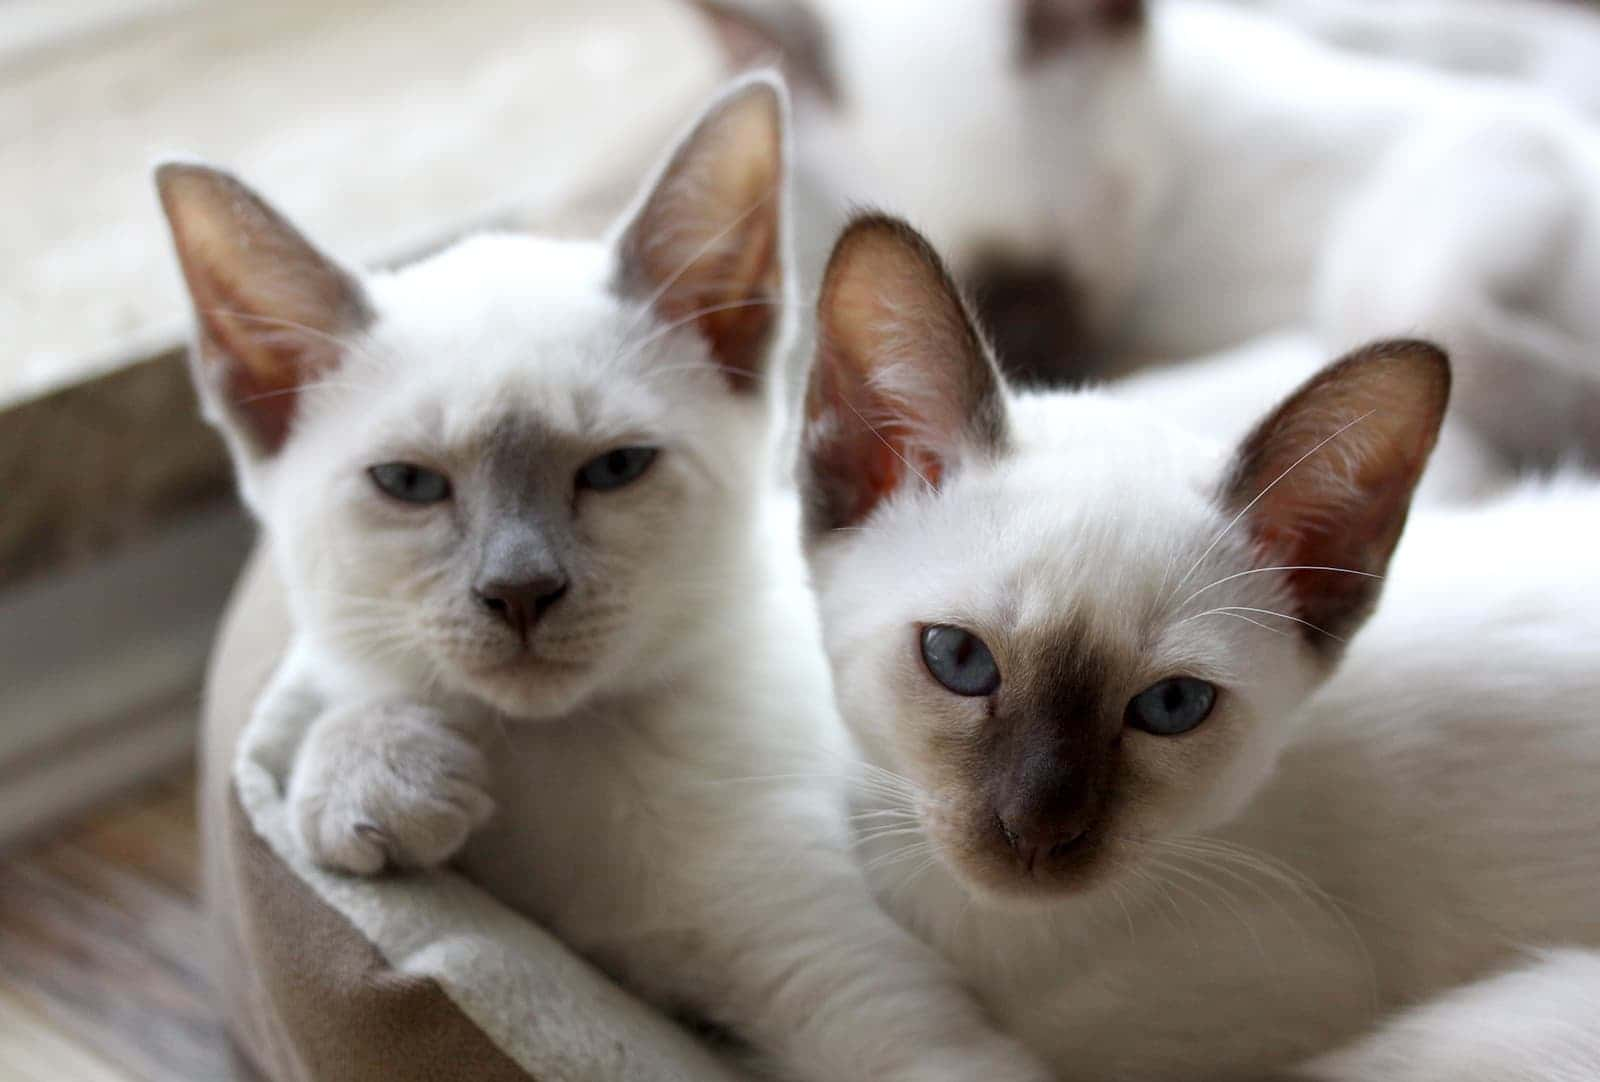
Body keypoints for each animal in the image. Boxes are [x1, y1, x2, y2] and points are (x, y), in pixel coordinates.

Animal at [156, 80, 1056, 1082]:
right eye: (410, 484)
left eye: (616, 468)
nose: (519, 592)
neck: (563, 762)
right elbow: (346, 686)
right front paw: (376, 778)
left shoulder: (868, 1001)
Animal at [694, 1, 1600, 464]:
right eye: (980, 299)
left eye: (1050, 282)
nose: (1054, 360)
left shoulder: (1503, 141)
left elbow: (1404, 308)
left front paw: (1572, 412)